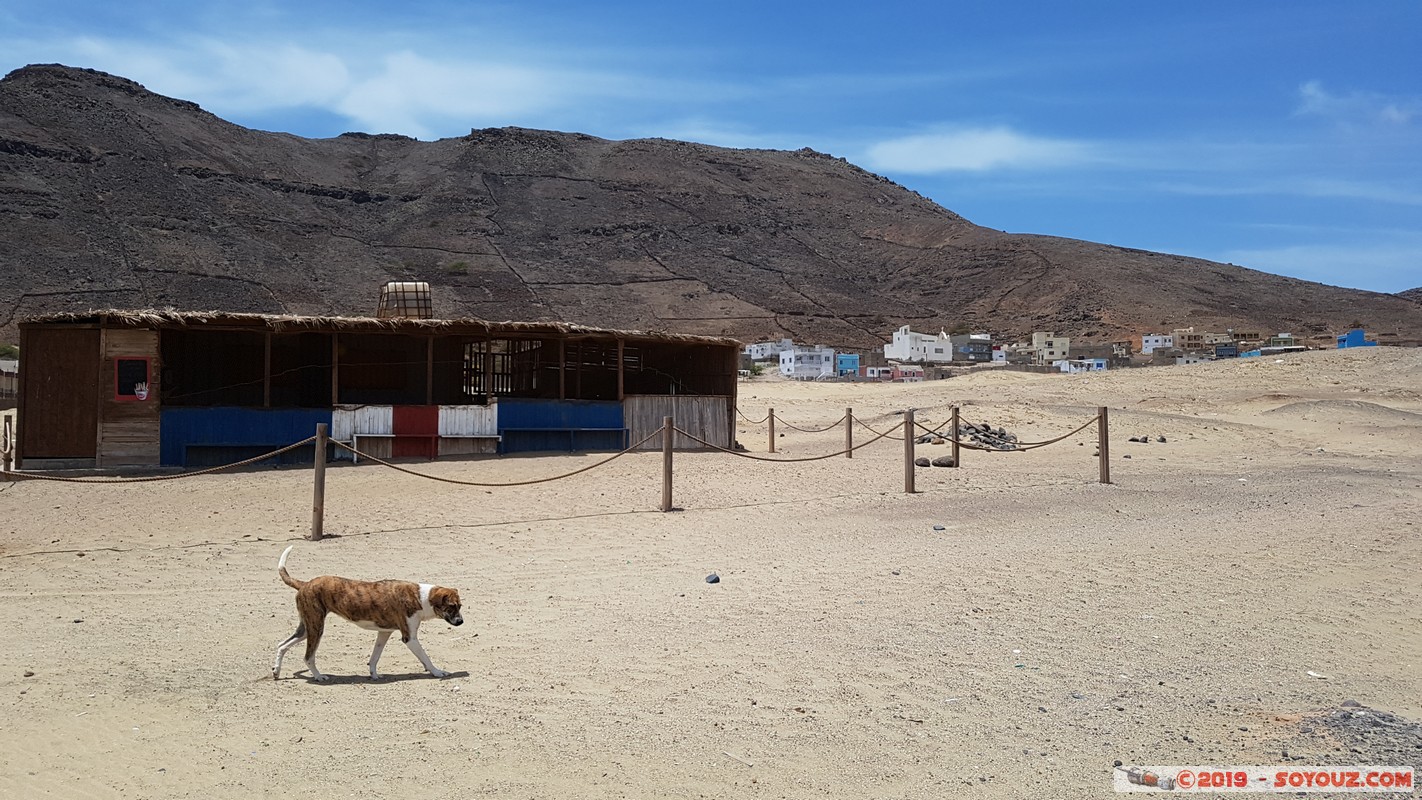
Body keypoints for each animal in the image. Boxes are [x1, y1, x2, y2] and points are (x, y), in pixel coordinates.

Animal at [270, 545, 460, 682]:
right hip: (316, 628)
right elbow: (426, 657)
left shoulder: (384, 632)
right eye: (451, 607)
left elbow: (375, 657)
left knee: (282, 644)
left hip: (307, 627)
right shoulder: (410, 638)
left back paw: (276, 671)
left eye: (460, 606)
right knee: (308, 656)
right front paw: (437, 672)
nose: (461, 622)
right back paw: (318, 676)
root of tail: (305, 584)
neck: (420, 597)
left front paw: (374, 674)